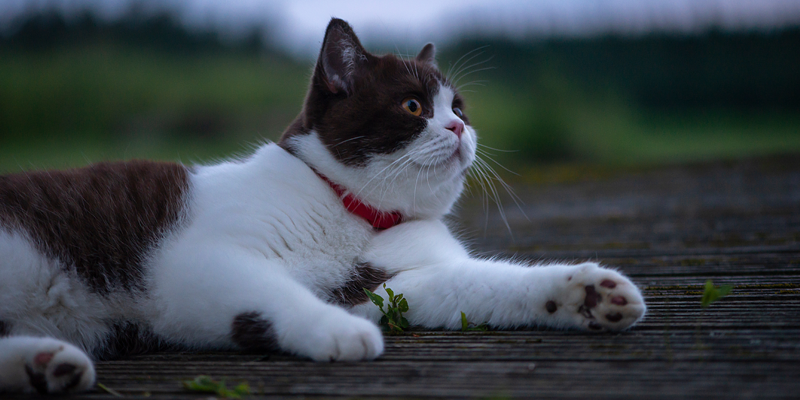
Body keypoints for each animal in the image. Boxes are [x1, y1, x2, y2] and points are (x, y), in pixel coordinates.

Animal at [0, 18, 648, 394]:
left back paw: (46, 365)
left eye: (460, 106)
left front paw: (587, 294)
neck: (356, 214)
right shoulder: (196, 262)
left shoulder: (402, 280)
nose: (460, 127)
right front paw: (339, 330)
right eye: (414, 106)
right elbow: (273, 289)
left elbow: (483, 285)